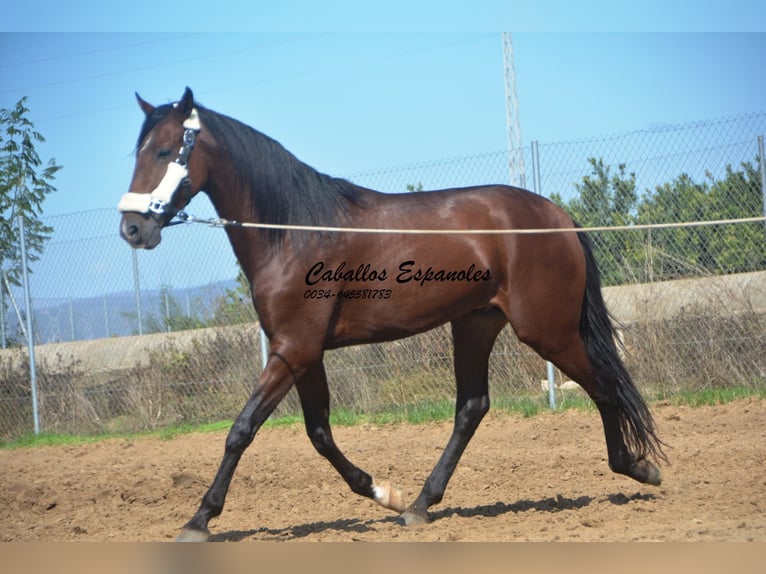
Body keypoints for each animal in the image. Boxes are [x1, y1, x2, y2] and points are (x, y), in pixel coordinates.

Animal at [118, 88, 664, 544]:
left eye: (165, 151)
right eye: (137, 151)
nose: (132, 228)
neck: (294, 233)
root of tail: (558, 218)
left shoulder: (294, 349)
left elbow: (242, 430)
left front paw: (199, 519)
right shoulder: (304, 353)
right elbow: (319, 434)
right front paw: (384, 493)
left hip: (547, 331)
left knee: (604, 385)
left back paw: (637, 468)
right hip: (476, 323)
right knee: (473, 408)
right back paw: (420, 504)